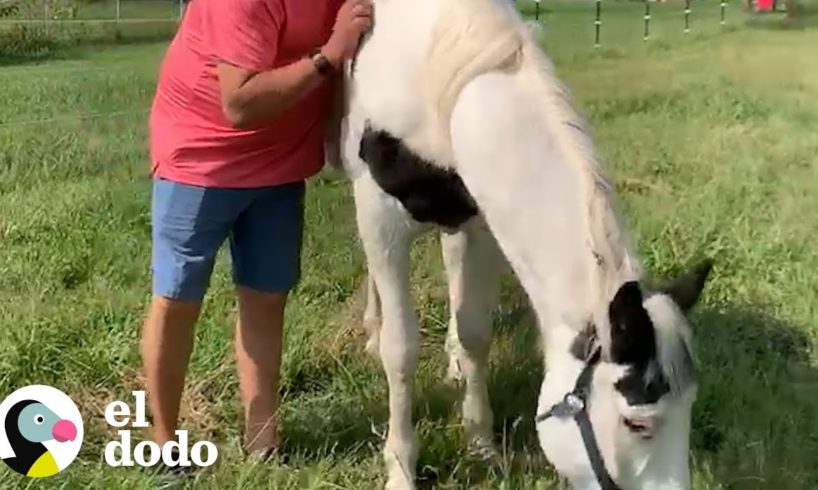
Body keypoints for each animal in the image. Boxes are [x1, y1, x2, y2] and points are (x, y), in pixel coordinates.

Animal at [330, 0, 708, 490]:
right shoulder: (380, 215)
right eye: (636, 423)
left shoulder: (480, 222)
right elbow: (401, 349)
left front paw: (481, 444)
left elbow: (475, 333)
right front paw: (400, 468)